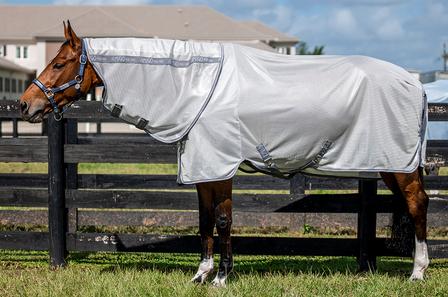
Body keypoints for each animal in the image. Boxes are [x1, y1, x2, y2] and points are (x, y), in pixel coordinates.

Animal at [20, 20, 430, 284]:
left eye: (59, 63)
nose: (25, 105)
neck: (196, 85)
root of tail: (415, 83)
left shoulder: (220, 166)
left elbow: (222, 221)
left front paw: (221, 277)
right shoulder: (204, 170)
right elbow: (205, 221)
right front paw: (201, 274)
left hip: (400, 166)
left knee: (418, 205)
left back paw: (418, 272)